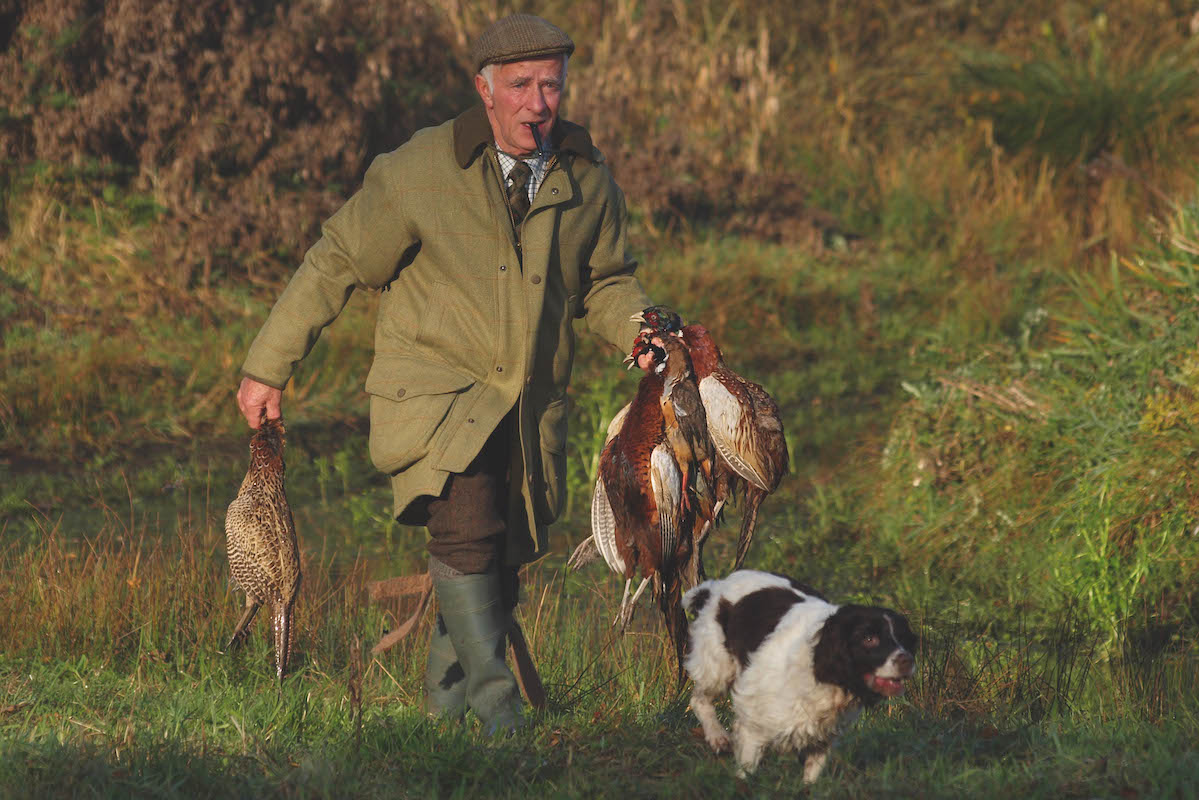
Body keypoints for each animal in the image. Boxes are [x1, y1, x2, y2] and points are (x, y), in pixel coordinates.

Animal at [685, 568, 916, 782]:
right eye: (869, 638)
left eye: (903, 638)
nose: (907, 660)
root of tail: (716, 586)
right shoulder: (753, 726)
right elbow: (746, 773)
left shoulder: (823, 739)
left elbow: (810, 781)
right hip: (717, 666)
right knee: (699, 699)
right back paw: (717, 737)